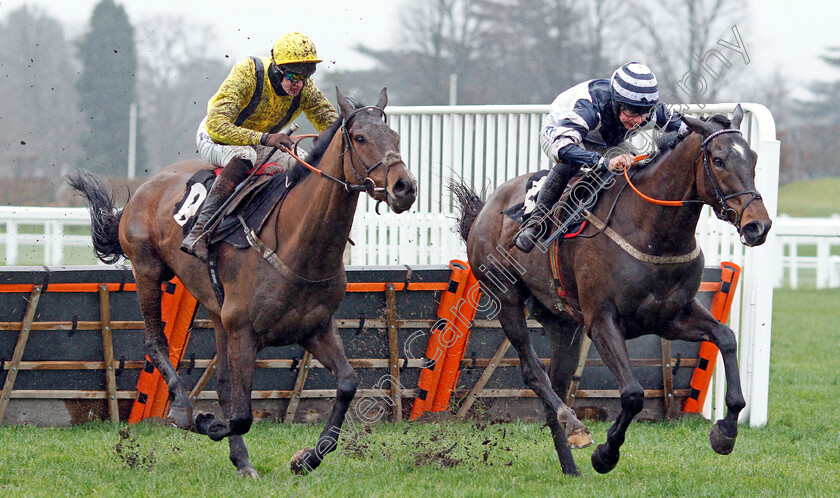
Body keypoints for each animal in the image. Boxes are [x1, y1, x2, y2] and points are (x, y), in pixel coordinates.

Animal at [67, 88, 418, 478]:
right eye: (359, 138)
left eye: (396, 138)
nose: (404, 187)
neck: (298, 243)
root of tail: (145, 187)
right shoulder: (245, 332)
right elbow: (242, 415)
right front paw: (206, 423)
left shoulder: (315, 328)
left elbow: (346, 384)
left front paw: (307, 458)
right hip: (147, 269)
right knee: (155, 342)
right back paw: (184, 409)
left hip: (216, 309)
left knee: (222, 382)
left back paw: (241, 459)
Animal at [452, 105, 768, 474]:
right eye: (718, 160)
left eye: (753, 158)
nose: (758, 225)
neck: (651, 231)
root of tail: (486, 208)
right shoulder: (602, 321)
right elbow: (632, 394)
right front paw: (606, 454)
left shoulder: (671, 316)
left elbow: (726, 338)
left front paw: (726, 431)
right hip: (507, 298)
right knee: (533, 373)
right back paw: (576, 426)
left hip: (563, 323)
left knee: (556, 380)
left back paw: (569, 464)